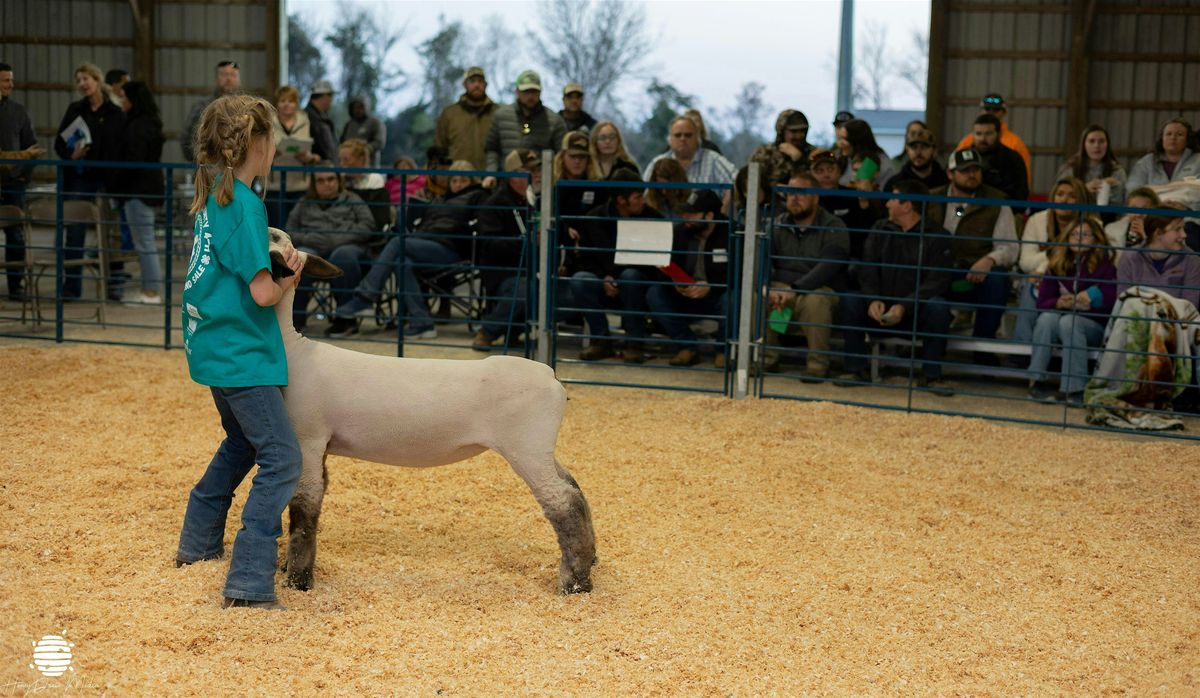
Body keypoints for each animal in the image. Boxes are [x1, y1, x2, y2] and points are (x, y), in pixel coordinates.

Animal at [267, 227, 595, 597]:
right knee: (574, 488)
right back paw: (591, 560)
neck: (294, 351)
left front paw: (298, 580)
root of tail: (551, 375)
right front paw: (290, 568)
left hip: (526, 448)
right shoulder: (320, 445)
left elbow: (304, 505)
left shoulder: (308, 437)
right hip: (540, 447)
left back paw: (575, 582)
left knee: (563, 501)